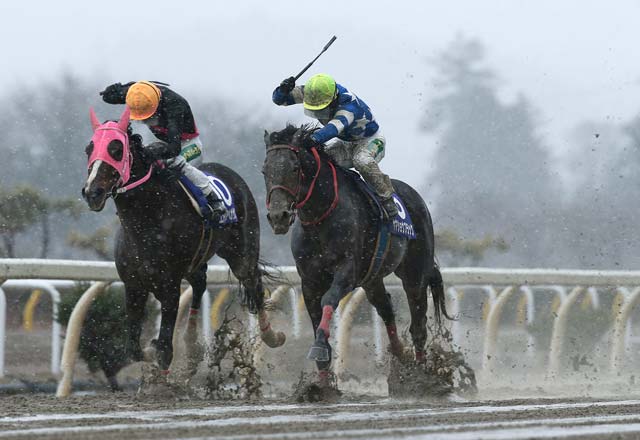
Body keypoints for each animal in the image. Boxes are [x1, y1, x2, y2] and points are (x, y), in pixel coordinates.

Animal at [83, 105, 284, 372]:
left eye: (116, 149)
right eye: (89, 149)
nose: (92, 192)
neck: (146, 222)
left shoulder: (169, 287)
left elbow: (165, 350)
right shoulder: (134, 285)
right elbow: (134, 348)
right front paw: (152, 347)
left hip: (243, 251)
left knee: (254, 283)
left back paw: (271, 336)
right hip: (196, 261)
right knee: (200, 283)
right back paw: (192, 345)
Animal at [262, 124, 448, 382]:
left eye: (294, 168)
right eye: (264, 171)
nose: (278, 216)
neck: (320, 218)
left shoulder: (347, 272)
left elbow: (329, 300)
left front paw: (319, 347)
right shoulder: (309, 280)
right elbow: (316, 316)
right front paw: (321, 381)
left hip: (415, 272)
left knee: (418, 324)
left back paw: (420, 377)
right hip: (372, 278)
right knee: (385, 307)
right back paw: (400, 353)